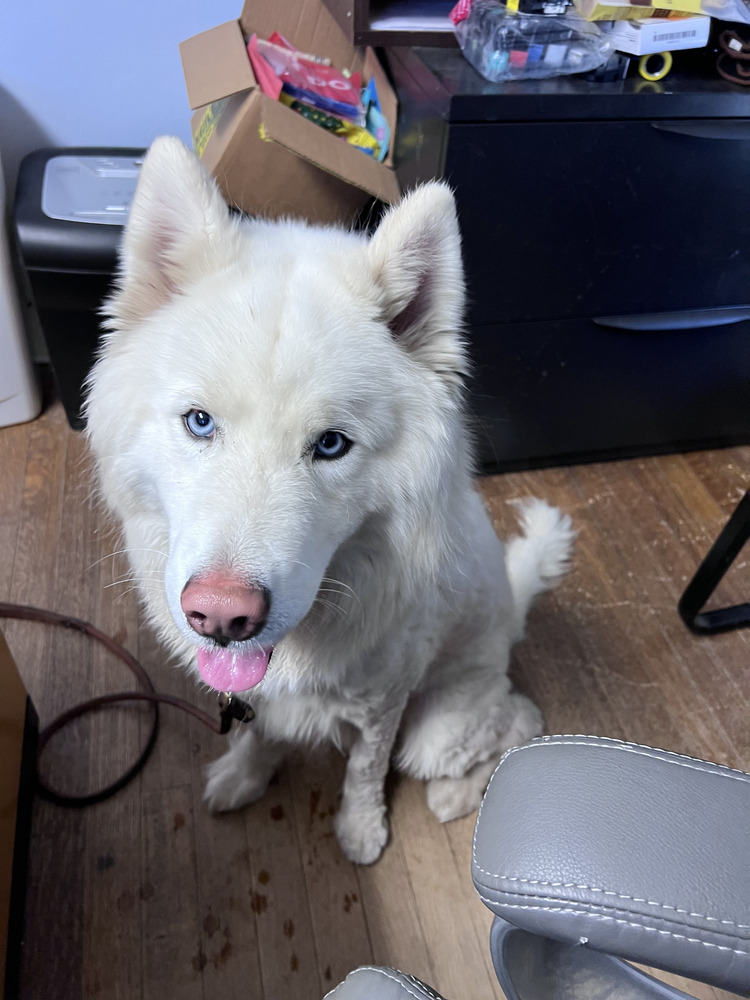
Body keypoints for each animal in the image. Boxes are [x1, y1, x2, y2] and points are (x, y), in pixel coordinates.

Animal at [85, 137, 572, 864]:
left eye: (332, 445)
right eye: (200, 423)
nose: (222, 615)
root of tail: (513, 611)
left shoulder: (382, 707)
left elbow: (365, 771)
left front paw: (360, 831)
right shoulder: (257, 689)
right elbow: (258, 729)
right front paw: (245, 774)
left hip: (438, 731)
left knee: (519, 723)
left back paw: (457, 795)